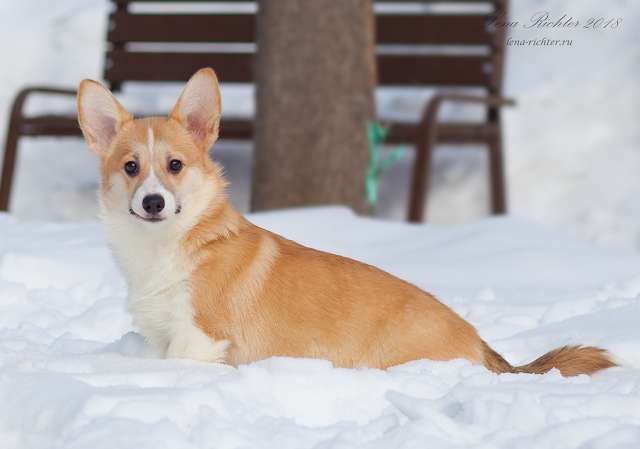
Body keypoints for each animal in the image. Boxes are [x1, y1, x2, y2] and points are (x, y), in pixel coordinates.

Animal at [77, 66, 616, 374]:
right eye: (131, 167)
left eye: (175, 166)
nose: (153, 203)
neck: (165, 247)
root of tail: (482, 349)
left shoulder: (198, 339)